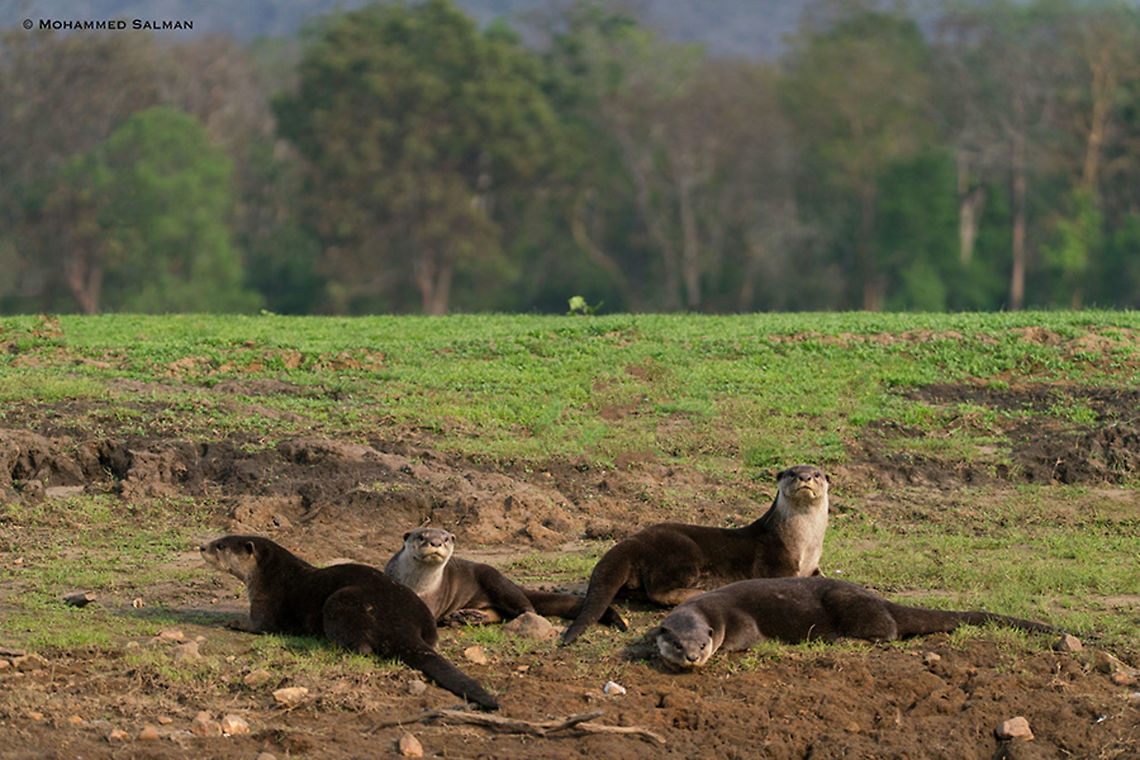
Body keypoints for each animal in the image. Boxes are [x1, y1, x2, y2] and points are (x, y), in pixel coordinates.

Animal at [199, 534, 499, 710]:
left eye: (220, 546)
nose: (201, 546)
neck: (269, 573)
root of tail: (401, 623)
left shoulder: (266, 601)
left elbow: (260, 625)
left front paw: (233, 621)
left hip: (340, 601)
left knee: (361, 648)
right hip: (423, 614)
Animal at [385, 528, 626, 629]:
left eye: (445, 538)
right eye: (421, 536)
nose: (435, 542)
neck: (418, 585)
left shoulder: (433, 601)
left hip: (495, 580)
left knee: (526, 607)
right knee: (497, 613)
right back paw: (465, 616)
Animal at [561, 464, 830, 645]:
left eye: (817, 474)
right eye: (793, 473)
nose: (805, 477)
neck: (806, 545)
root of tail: (634, 541)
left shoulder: (813, 565)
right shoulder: (778, 564)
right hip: (683, 555)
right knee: (659, 591)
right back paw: (698, 592)